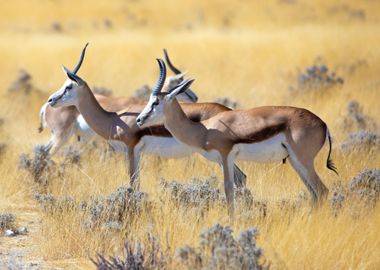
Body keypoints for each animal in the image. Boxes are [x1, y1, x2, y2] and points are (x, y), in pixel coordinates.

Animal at [136, 59, 338, 217]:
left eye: (156, 102)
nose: (139, 119)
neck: (204, 129)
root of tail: (323, 124)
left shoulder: (226, 156)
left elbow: (228, 189)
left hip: (303, 161)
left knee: (322, 191)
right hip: (296, 162)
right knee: (314, 193)